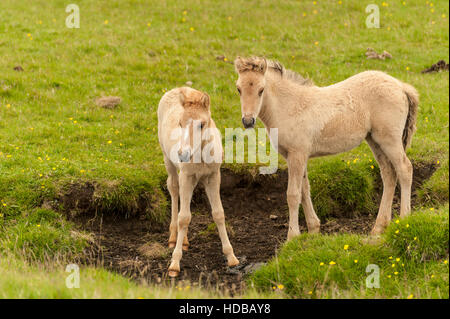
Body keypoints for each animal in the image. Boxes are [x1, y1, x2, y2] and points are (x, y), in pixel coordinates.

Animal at [157, 87, 239, 278]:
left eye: (202, 124)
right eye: (180, 123)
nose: (183, 154)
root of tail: (176, 89)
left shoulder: (213, 176)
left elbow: (218, 213)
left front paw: (231, 257)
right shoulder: (187, 176)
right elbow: (184, 217)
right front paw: (174, 264)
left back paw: (185, 241)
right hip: (168, 161)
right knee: (173, 189)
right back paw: (174, 237)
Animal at [234, 57, 420, 240]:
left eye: (261, 90)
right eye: (238, 89)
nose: (248, 121)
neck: (289, 106)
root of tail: (401, 87)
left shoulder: (297, 154)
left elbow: (293, 194)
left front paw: (292, 237)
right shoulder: (295, 156)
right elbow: (304, 189)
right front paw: (313, 229)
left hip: (390, 140)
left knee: (405, 169)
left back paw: (404, 219)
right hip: (375, 140)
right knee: (389, 174)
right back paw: (379, 227)